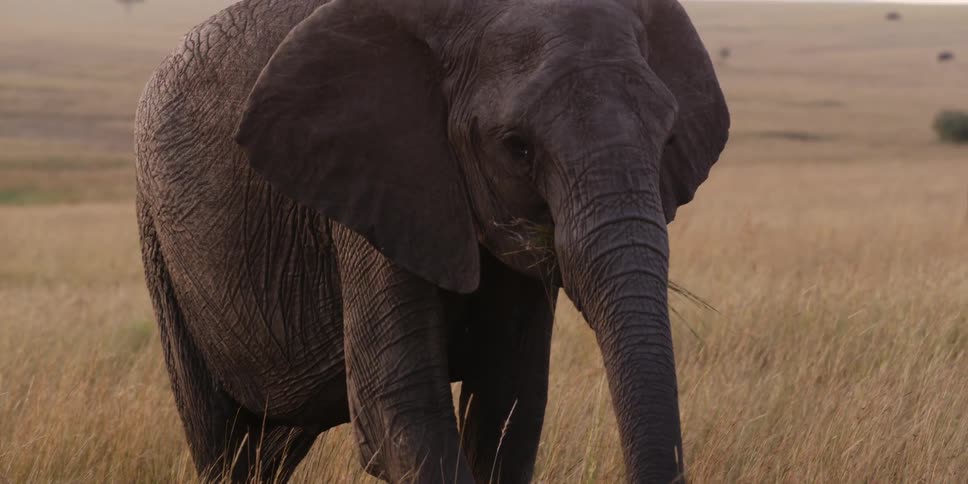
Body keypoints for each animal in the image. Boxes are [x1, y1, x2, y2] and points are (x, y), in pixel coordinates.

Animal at [133, 0, 729, 482]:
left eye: (668, 139)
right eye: (517, 147)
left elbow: (509, 404)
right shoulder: (376, 170)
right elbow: (400, 411)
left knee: (275, 445)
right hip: (157, 239)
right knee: (222, 443)